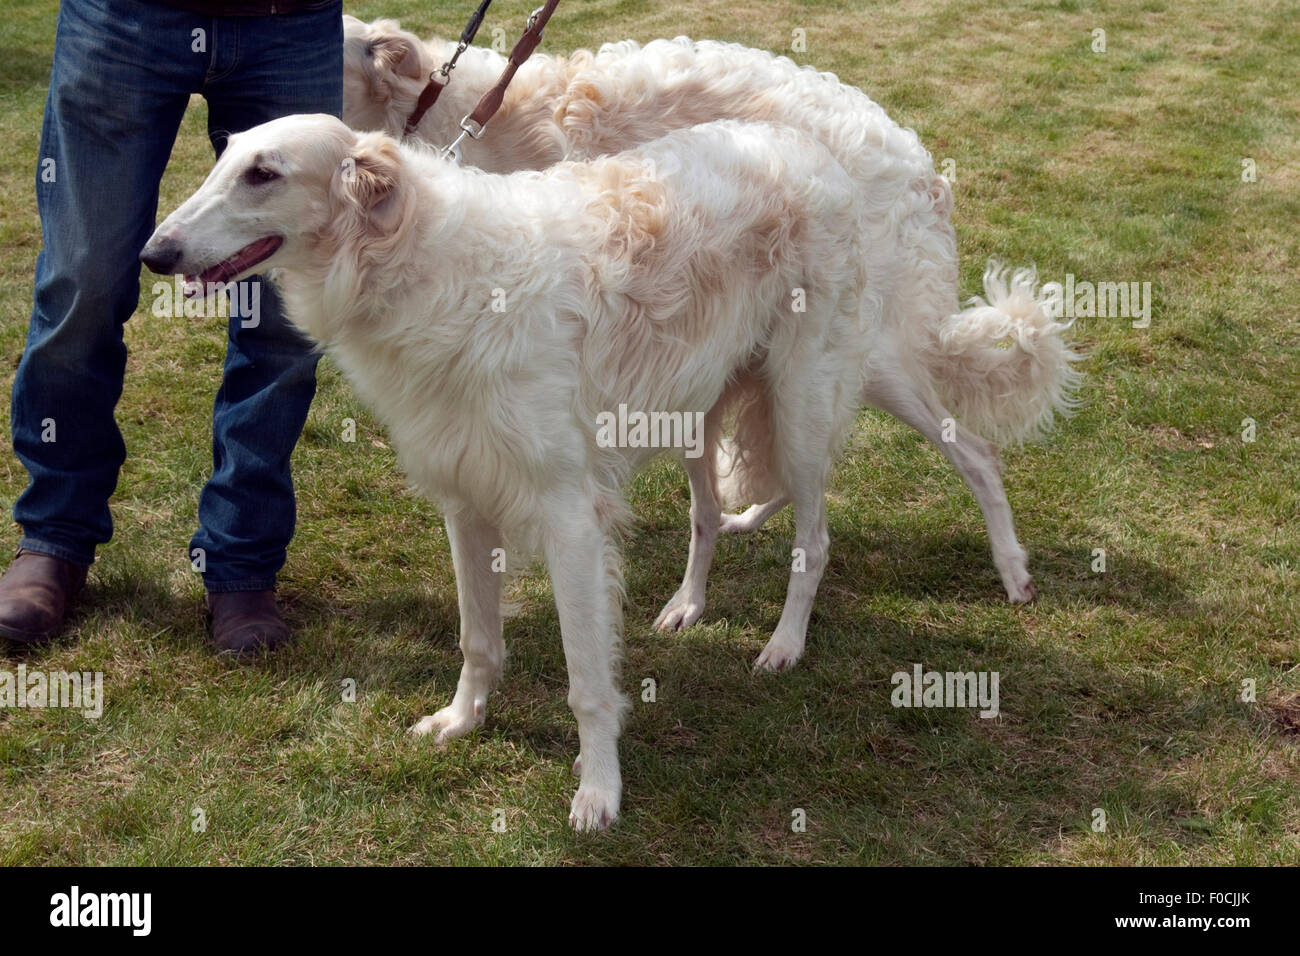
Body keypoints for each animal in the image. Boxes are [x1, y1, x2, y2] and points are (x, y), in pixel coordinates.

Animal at [139, 111, 1076, 832]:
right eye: (219, 158)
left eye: (263, 173)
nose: (154, 253)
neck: (420, 260)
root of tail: (806, 148)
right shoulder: (464, 498)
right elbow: (478, 639)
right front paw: (461, 721)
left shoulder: (566, 514)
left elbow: (589, 681)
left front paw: (598, 794)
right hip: (707, 407)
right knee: (712, 516)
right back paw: (688, 605)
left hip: (813, 397)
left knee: (887, 498)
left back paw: (833, 629)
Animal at [340, 16, 1081, 613]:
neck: (443, 103)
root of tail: (925, 173)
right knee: (802, 459)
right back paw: (745, 517)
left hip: (855, 349)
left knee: (970, 453)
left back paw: (1012, 569)